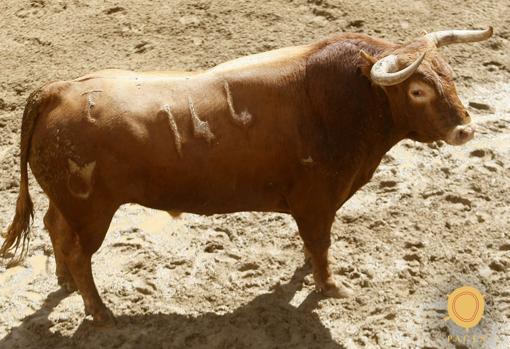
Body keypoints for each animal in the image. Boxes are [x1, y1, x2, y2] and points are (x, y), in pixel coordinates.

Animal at [0, 27, 494, 324]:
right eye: (417, 90)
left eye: (449, 75)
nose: (465, 130)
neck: (343, 101)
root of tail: (58, 91)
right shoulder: (316, 202)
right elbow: (321, 244)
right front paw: (331, 285)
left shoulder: (316, 206)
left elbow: (313, 245)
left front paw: (308, 271)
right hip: (91, 212)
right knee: (78, 251)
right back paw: (99, 311)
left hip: (68, 203)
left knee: (55, 229)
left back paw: (64, 283)